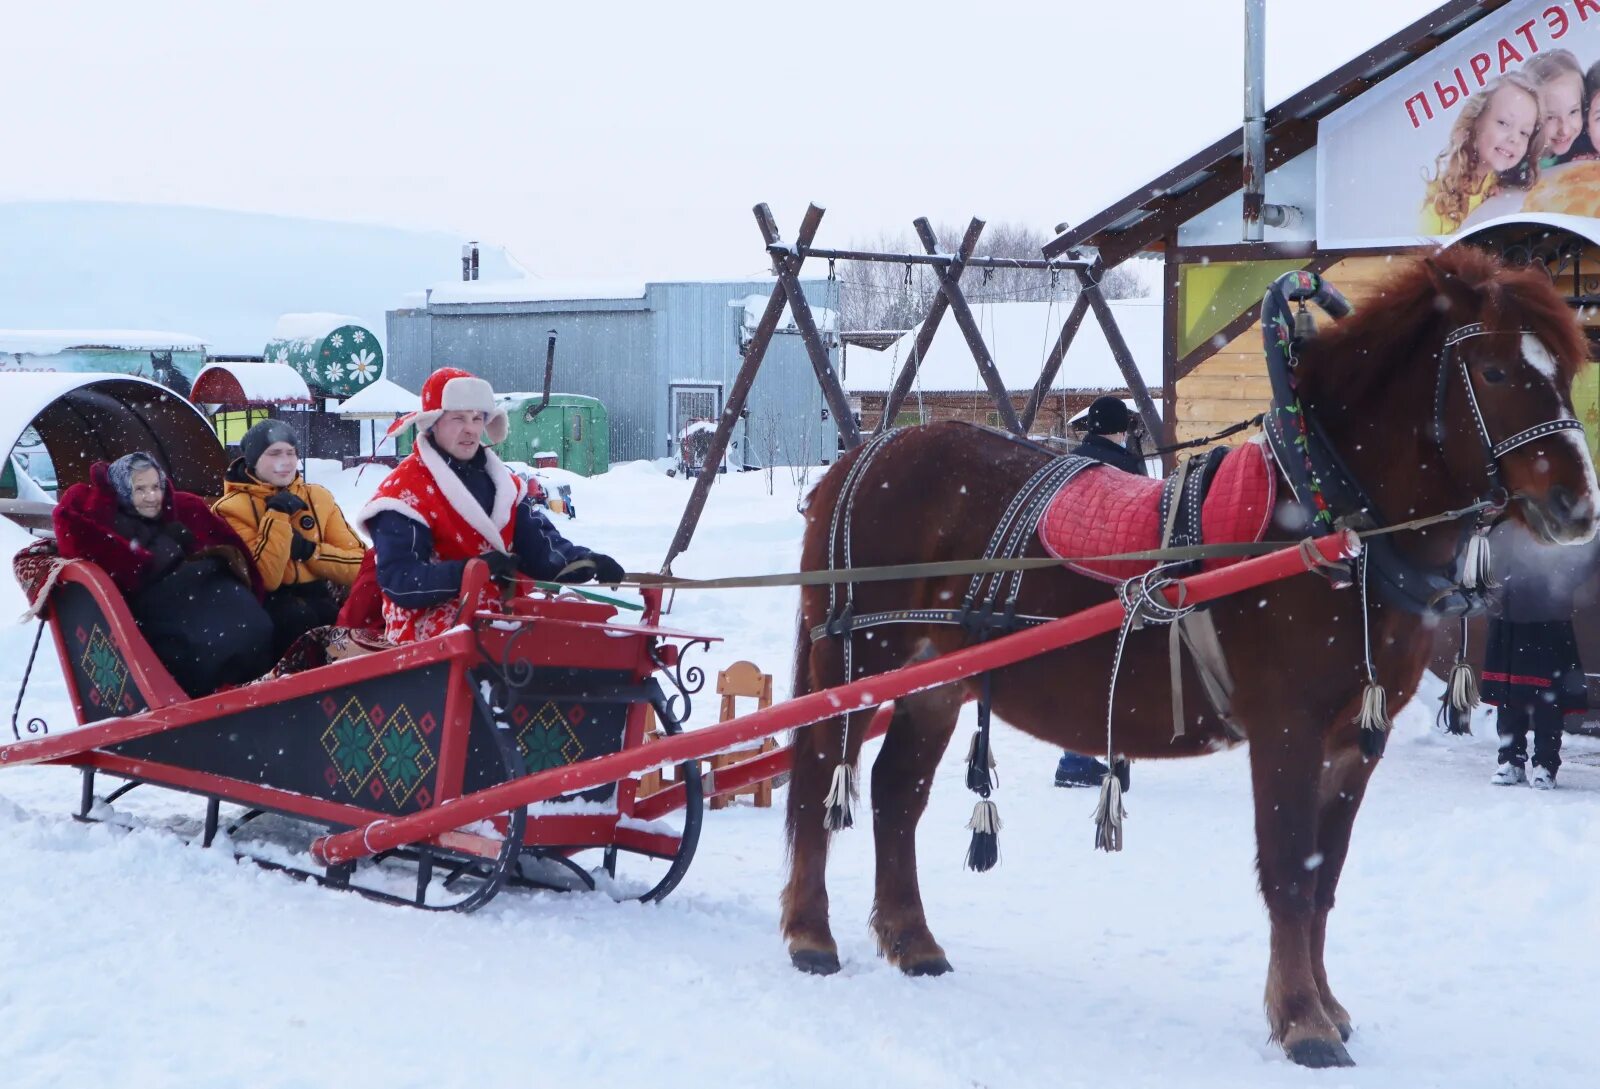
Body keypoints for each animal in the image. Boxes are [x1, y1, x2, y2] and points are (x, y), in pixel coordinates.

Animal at [780, 244, 1593, 1061]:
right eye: (1494, 370)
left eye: (1563, 367)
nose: (1578, 505)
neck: (1328, 521)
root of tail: (866, 455)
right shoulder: (1287, 730)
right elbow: (1289, 873)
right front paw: (1301, 1021)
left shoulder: (1355, 743)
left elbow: (1324, 876)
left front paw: (1328, 1007)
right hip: (854, 663)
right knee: (819, 770)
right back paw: (811, 935)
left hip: (934, 682)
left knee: (895, 792)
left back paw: (912, 941)